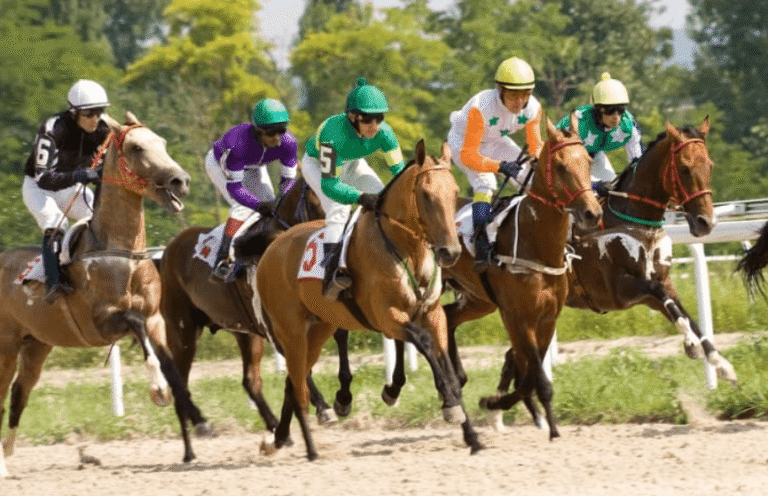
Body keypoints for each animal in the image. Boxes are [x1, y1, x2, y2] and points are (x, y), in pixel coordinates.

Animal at [0, 111, 199, 478]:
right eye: (137, 148)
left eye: (162, 142)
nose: (180, 181)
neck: (122, 251)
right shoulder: (102, 324)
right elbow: (136, 327)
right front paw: (157, 389)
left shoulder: (156, 319)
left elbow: (170, 363)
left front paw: (198, 418)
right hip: (5, 347)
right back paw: (3, 467)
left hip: (36, 345)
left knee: (20, 392)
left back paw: (7, 452)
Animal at [158, 176, 351, 463]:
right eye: (316, 202)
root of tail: (168, 250)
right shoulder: (276, 324)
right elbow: (300, 366)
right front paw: (324, 408)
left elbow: (337, 337)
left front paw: (339, 400)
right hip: (183, 330)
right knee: (179, 381)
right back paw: (195, 440)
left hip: (244, 332)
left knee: (250, 381)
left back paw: (275, 429)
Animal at [254, 140, 483, 460]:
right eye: (426, 195)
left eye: (453, 191)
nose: (450, 252)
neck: (406, 250)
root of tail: (272, 248)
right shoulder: (387, 317)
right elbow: (424, 343)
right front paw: (448, 405)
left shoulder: (433, 315)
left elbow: (447, 368)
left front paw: (471, 435)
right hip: (292, 331)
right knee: (298, 383)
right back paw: (309, 447)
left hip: (318, 329)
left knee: (293, 381)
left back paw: (279, 439)